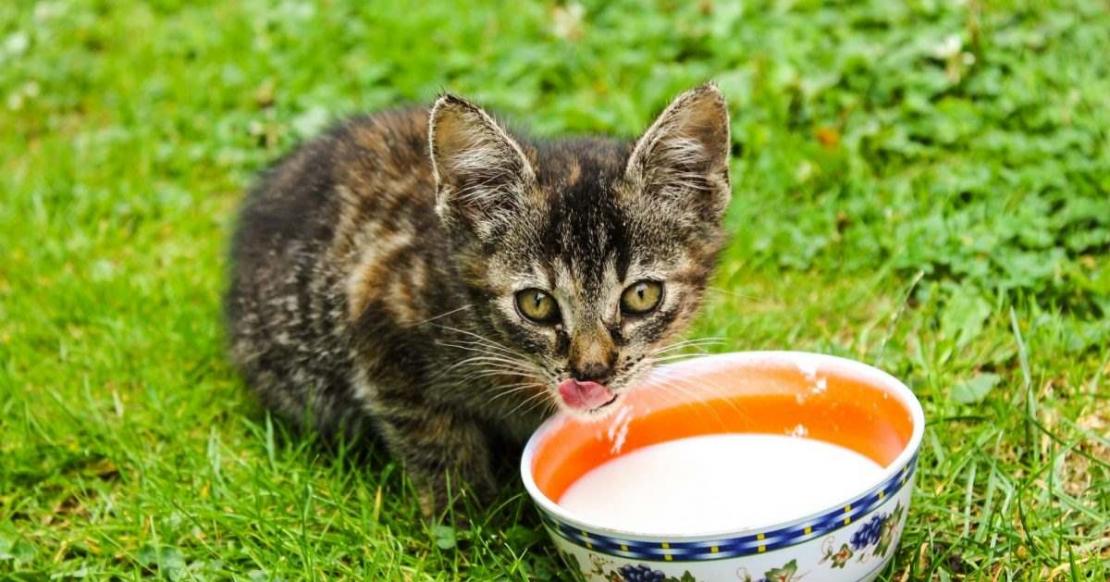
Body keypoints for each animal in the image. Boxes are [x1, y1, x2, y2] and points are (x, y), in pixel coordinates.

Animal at [224, 82, 732, 508]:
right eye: (536, 304)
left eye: (641, 296)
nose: (591, 372)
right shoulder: (380, 316)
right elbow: (435, 440)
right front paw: (469, 520)